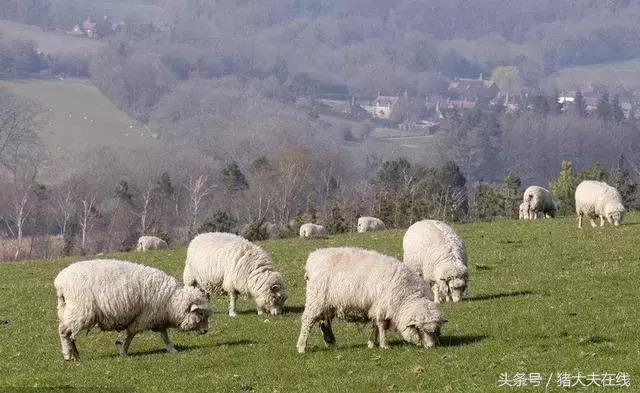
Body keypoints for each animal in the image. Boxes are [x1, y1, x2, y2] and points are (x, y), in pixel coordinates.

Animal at [54, 258, 210, 360]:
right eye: (200, 313)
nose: (206, 331)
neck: (170, 300)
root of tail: (60, 281)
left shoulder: (156, 317)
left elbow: (164, 335)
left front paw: (172, 349)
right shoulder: (144, 317)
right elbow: (131, 334)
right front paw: (123, 351)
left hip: (67, 310)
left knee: (70, 335)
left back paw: (75, 355)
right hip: (80, 311)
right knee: (64, 332)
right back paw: (68, 355)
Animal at [298, 245, 448, 352]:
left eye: (436, 331)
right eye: (420, 330)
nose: (431, 348)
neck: (406, 295)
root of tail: (313, 258)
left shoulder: (376, 306)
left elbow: (375, 325)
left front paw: (371, 343)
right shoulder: (382, 306)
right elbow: (381, 325)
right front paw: (384, 345)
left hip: (327, 303)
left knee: (324, 323)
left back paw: (331, 343)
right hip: (315, 299)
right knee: (308, 321)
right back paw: (302, 347)